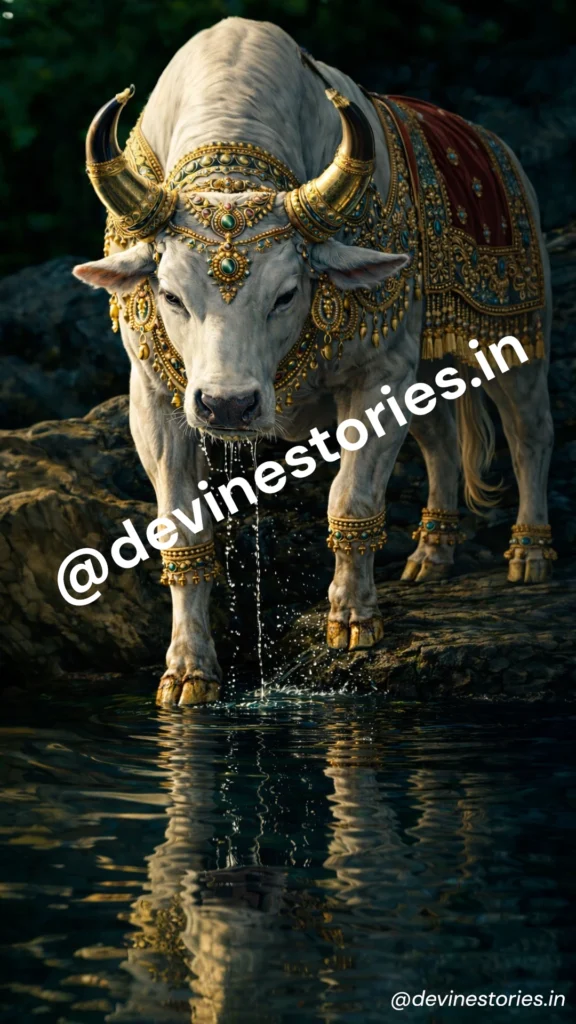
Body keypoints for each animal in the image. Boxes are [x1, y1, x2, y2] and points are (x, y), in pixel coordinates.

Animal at [74, 18, 555, 706]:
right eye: (170, 295)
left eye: (286, 293)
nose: (228, 406)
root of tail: (500, 152)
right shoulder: (156, 398)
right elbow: (183, 531)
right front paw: (188, 670)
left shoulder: (380, 371)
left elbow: (351, 497)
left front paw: (352, 619)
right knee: (440, 439)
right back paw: (430, 556)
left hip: (517, 334)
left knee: (528, 433)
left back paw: (529, 555)